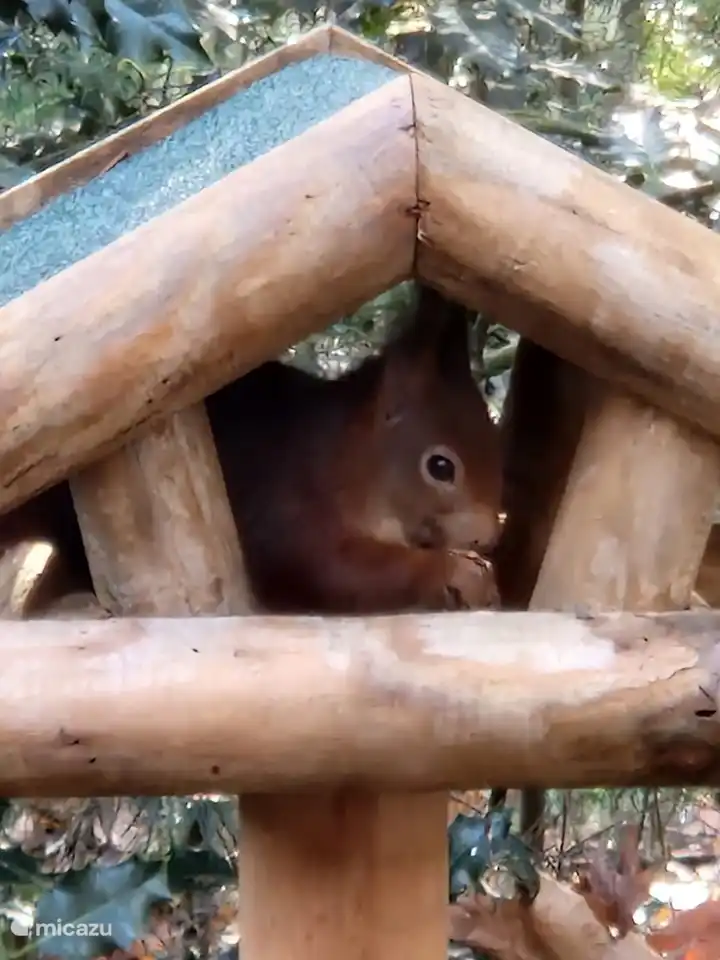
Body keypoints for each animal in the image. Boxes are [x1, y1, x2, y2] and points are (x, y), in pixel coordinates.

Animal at [0, 285, 503, 616]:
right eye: (440, 467)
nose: (490, 535)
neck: (344, 459)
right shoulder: (288, 509)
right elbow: (337, 571)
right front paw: (459, 573)